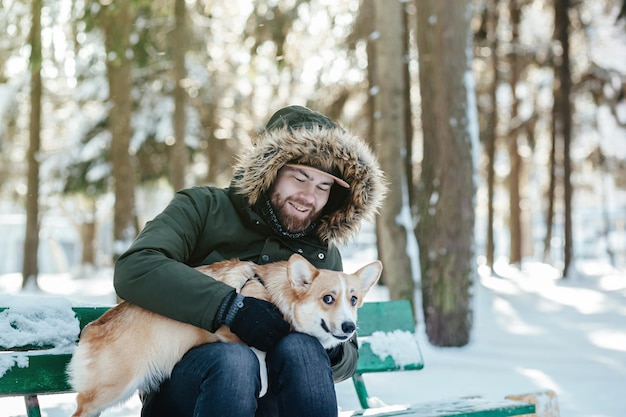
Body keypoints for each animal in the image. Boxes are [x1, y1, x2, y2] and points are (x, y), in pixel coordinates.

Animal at [67, 252, 380, 416]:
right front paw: (263, 383)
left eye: (353, 300)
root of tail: (92, 327)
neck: (274, 296)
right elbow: (258, 357)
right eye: (328, 298)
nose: (349, 328)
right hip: (110, 390)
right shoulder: (235, 330)